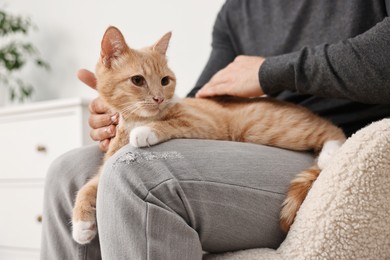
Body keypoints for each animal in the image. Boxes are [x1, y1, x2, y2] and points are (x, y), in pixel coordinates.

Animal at [71, 26, 346, 244]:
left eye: (165, 80)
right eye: (137, 80)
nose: (159, 99)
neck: (133, 120)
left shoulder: (201, 122)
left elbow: (170, 124)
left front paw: (145, 131)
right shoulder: (107, 162)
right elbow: (87, 187)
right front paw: (81, 224)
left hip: (264, 128)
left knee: (332, 129)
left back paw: (329, 153)